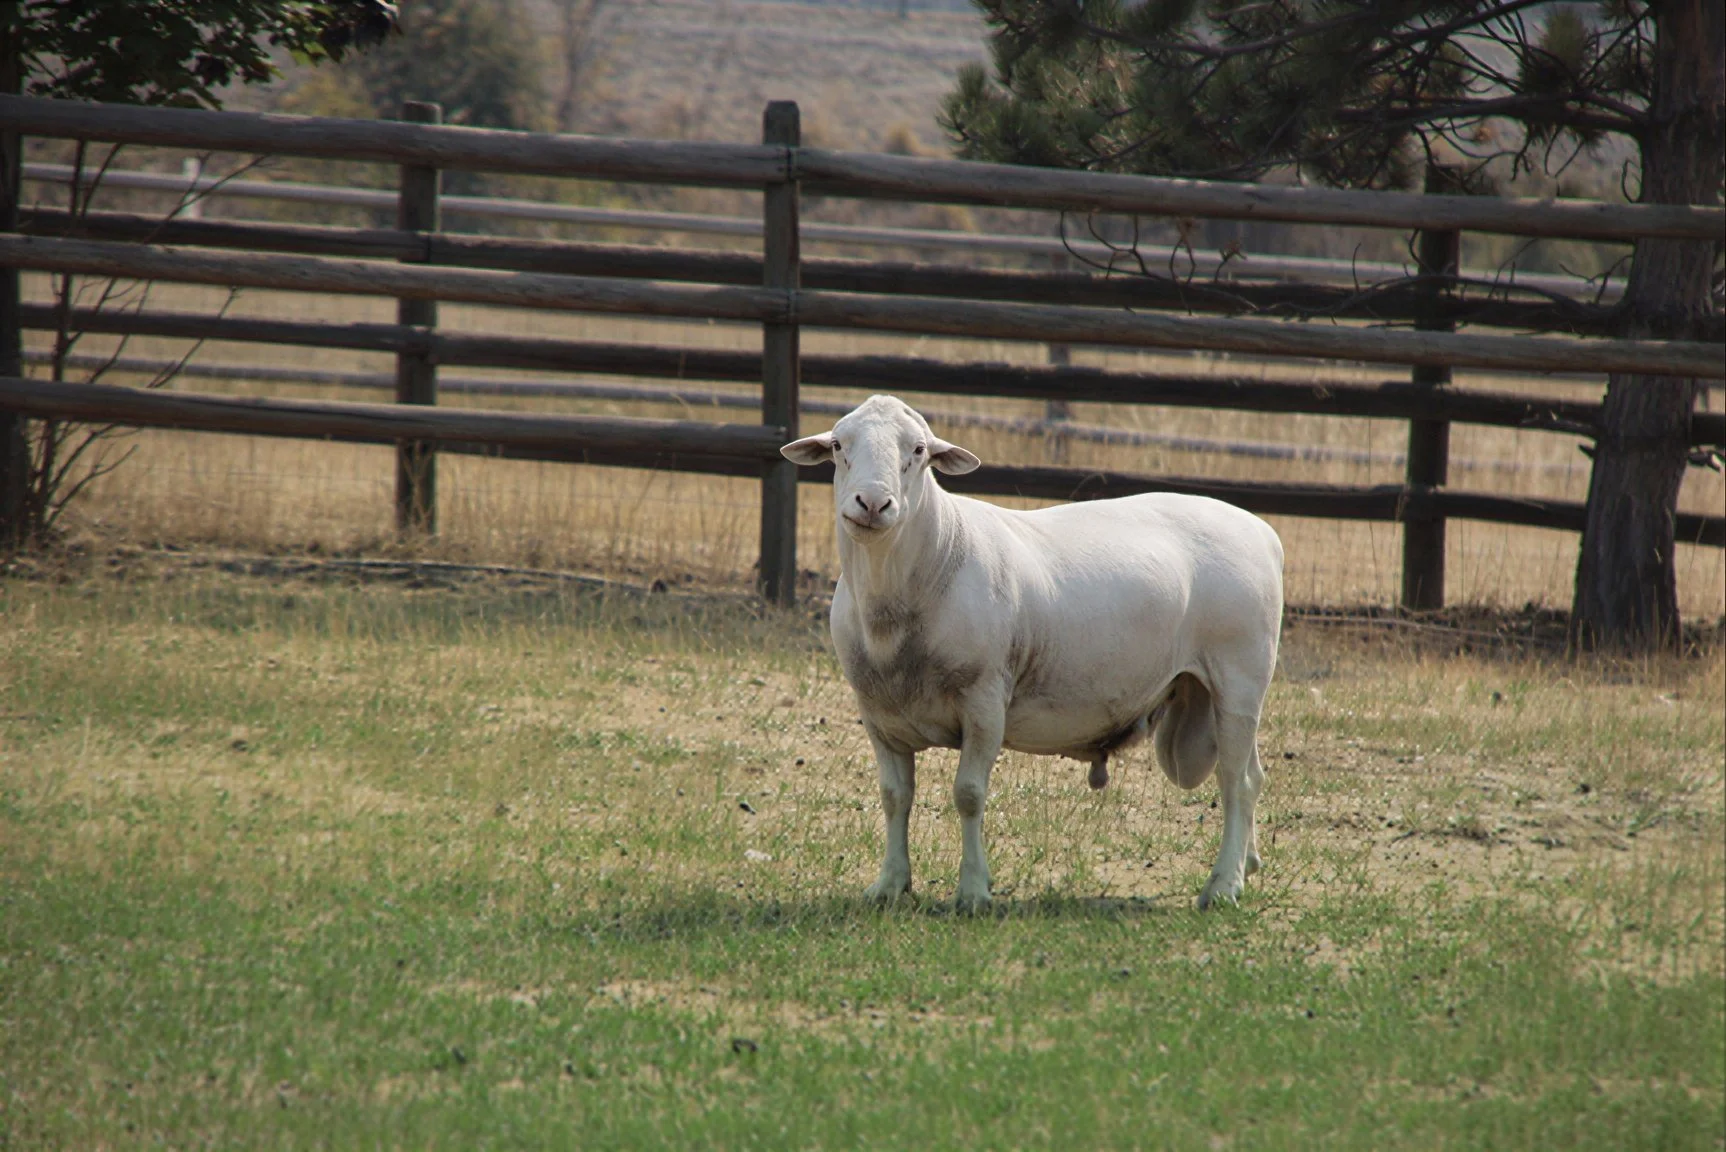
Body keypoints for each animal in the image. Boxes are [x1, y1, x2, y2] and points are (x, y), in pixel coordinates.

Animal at [781, 395, 1284, 911]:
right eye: (838, 445)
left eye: (918, 450)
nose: (873, 503)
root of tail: (1262, 531)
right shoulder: (877, 713)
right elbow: (893, 796)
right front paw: (890, 885)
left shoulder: (984, 701)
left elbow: (969, 794)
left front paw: (973, 891)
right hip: (1219, 691)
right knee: (1253, 775)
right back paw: (1248, 864)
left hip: (1240, 675)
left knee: (1236, 782)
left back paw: (1224, 885)